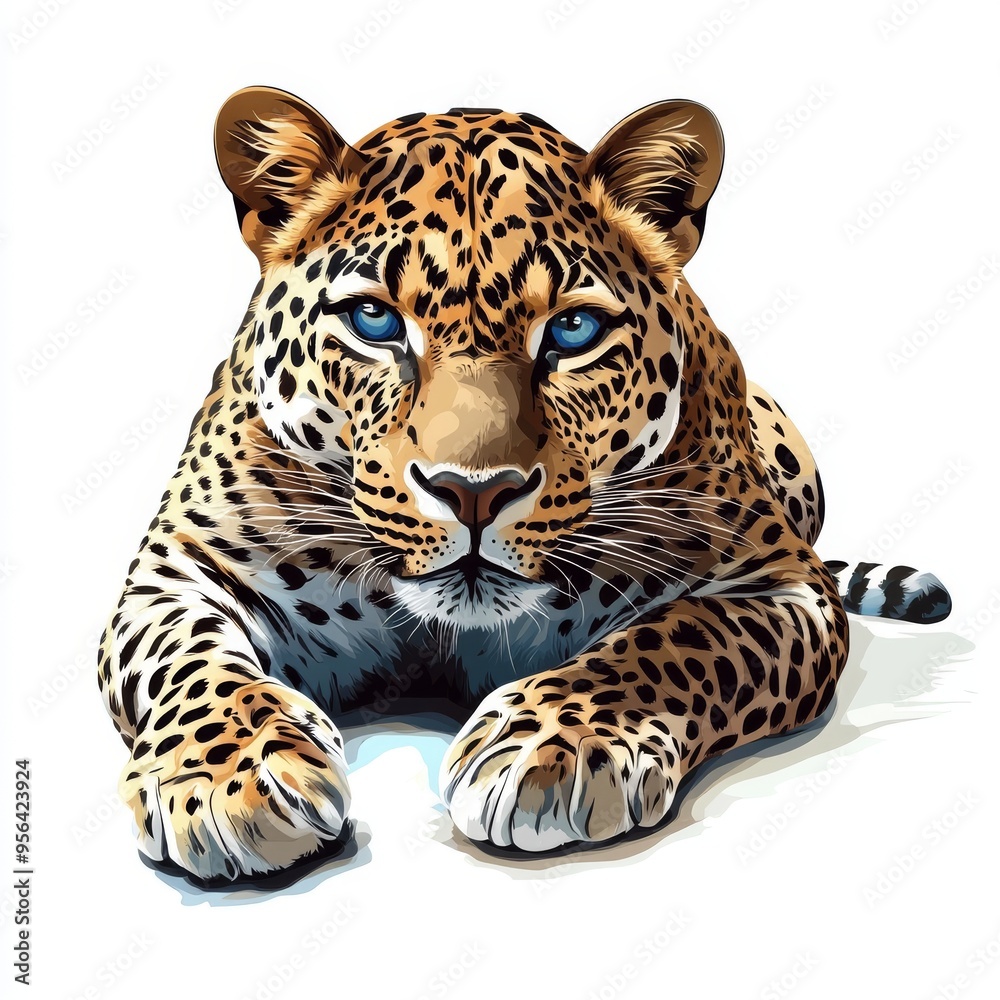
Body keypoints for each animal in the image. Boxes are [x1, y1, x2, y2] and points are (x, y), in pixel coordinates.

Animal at [97, 87, 952, 881]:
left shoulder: (777, 583)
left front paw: (558, 742)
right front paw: (225, 778)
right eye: (374, 320)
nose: (473, 491)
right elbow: (190, 662)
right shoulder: (178, 570)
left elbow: (674, 639)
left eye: (572, 330)